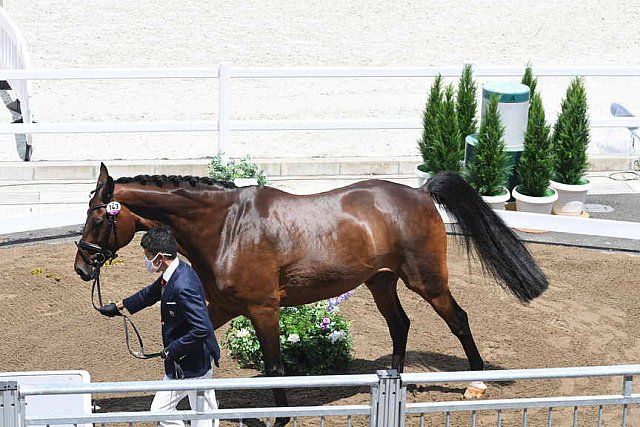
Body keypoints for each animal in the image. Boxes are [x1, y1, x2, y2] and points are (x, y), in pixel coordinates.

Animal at [74, 163, 544, 424]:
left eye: (97, 217)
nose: (82, 267)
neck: (227, 227)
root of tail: (419, 192)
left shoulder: (263, 309)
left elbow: (277, 367)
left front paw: (280, 418)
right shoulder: (222, 305)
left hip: (426, 280)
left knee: (458, 320)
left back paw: (478, 383)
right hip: (381, 281)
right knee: (400, 324)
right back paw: (392, 383)